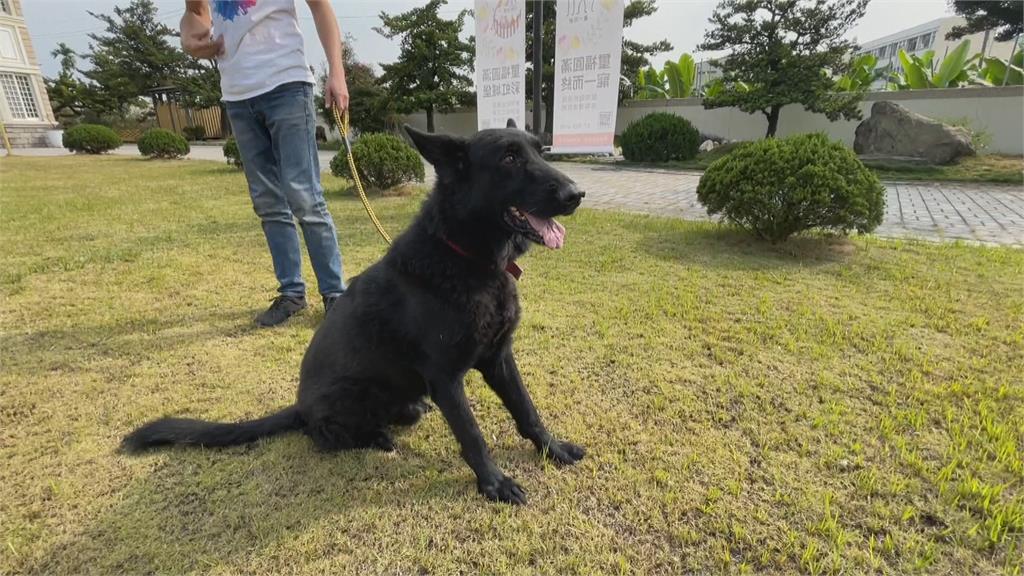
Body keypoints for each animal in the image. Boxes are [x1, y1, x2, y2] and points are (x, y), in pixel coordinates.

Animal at [121, 120, 585, 502]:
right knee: (324, 436)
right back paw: (376, 438)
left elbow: (527, 410)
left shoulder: (498, 359)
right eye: (509, 158)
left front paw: (553, 449)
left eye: (540, 150)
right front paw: (494, 483)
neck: (465, 256)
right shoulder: (446, 378)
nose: (577, 195)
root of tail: (300, 406)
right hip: (354, 395)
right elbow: (472, 435)